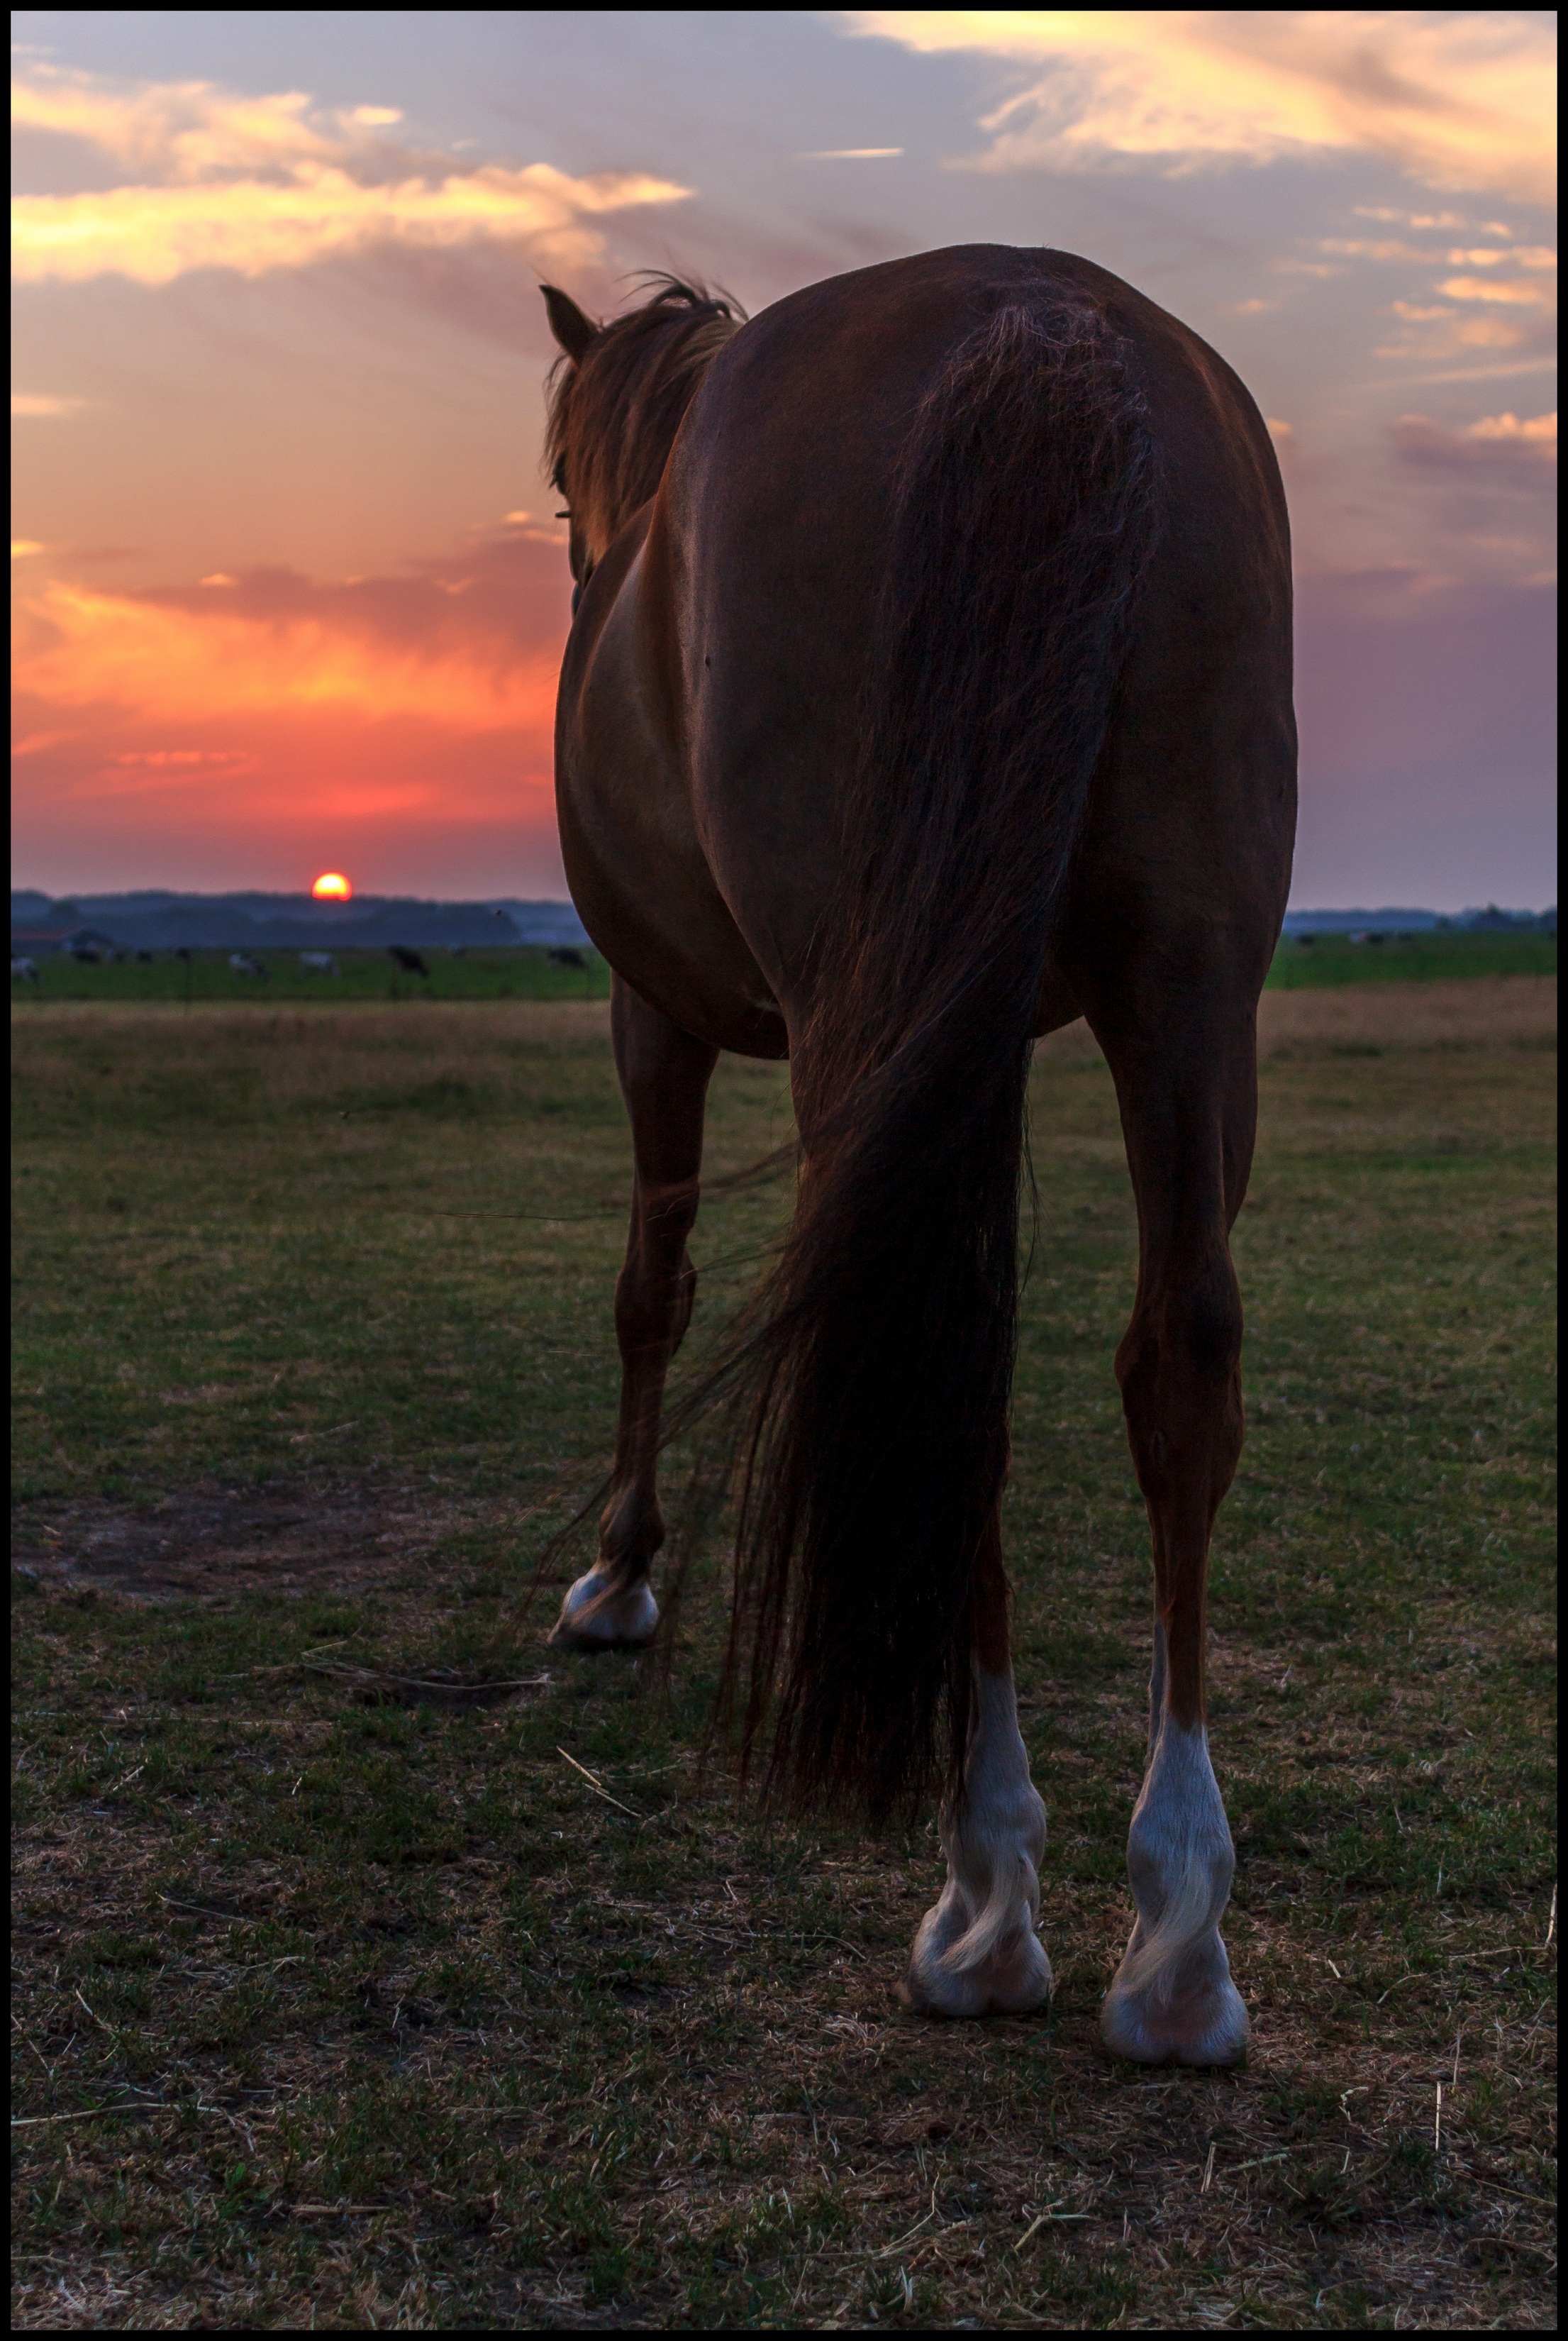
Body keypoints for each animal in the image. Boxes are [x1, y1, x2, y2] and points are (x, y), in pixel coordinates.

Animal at [538, 248, 1295, 2067]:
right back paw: (1175, 1937)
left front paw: (618, 1569)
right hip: (1190, 986)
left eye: (556, 490)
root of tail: (1038, 316)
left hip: (873, 1006)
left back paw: (984, 1898)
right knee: (1177, 1362)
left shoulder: (647, 1014)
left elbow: (648, 1288)